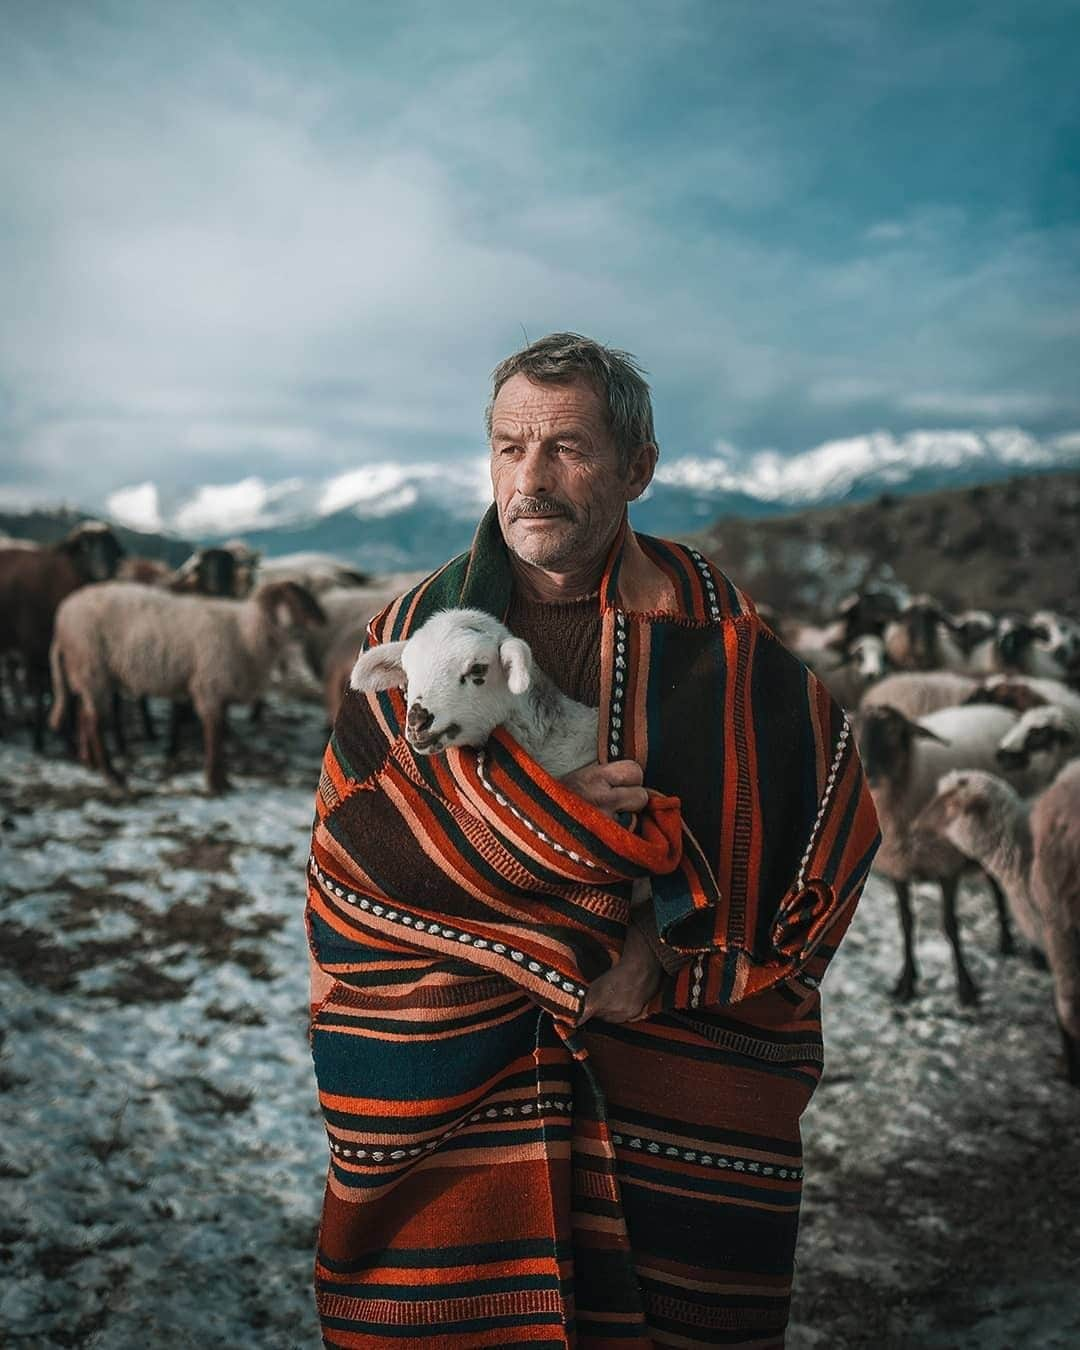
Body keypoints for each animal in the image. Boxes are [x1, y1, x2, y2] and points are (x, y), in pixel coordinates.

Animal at [0, 518, 124, 750]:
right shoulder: (34, 646)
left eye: (112, 547)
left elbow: (71, 694)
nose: (106, 571)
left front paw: (69, 736)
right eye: (84, 547)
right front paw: (39, 740)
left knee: (11, 675)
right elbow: (40, 689)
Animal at [48, 577, 325, 788]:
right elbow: (214, 736)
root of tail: (63, 614)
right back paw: (111, 774)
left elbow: (220, 734)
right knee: (94, 721)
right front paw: (215, 783)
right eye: (297, 599)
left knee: (84, 715)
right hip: (91, 667)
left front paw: (222, 779)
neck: (246, 633)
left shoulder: (220, 691)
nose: (322, 620)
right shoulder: (209, 686)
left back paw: (91, 763)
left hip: (89, 674)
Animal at [853, 702, 1047, 1009]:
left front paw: (966, 988)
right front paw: (906, 983)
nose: (868, 770)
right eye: (856, 729)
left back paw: (1035, 953)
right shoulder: (898, 867)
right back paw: (1005, 942)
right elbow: (906, 923)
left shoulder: (946, 864)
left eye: (894, 732)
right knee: (997, 886)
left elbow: (951, 926)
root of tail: (998, 708)